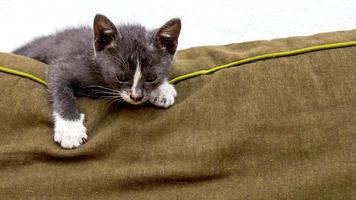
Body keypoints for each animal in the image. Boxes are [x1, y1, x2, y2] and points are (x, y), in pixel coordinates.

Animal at [13, 14, 181, 148]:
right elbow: (61, 89)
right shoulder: (63, 66)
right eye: (121, 77)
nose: (136, 97)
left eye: (152, 78)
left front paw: (163, 90)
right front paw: (70, 129)